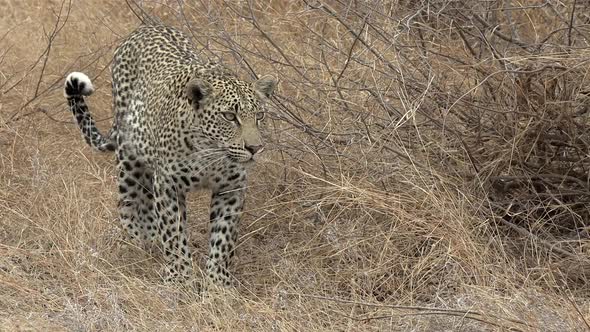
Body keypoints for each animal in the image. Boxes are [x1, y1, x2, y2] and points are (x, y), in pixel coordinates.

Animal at [65, 24, 278, 288]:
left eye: (259, 116)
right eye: (229, 116)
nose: (255, 148)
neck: (210, 153)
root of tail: (147, 27)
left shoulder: (231, 188)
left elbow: (224, 238)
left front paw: (218, 283)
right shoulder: (168, 185)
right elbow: (174, 233)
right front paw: (180, 278)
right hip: (129, 160)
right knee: (129, 204)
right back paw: (143, 242)